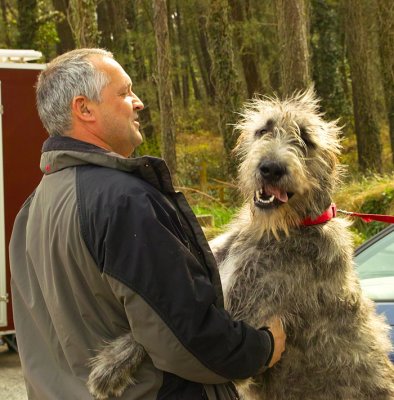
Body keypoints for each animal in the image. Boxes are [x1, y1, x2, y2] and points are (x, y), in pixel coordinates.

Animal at [87, 91, 394, 400]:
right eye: (263, 130)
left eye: (306, 140)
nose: (271, 168)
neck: (276, 229)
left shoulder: (250, 311)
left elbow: (167, 332)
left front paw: (111, 363)